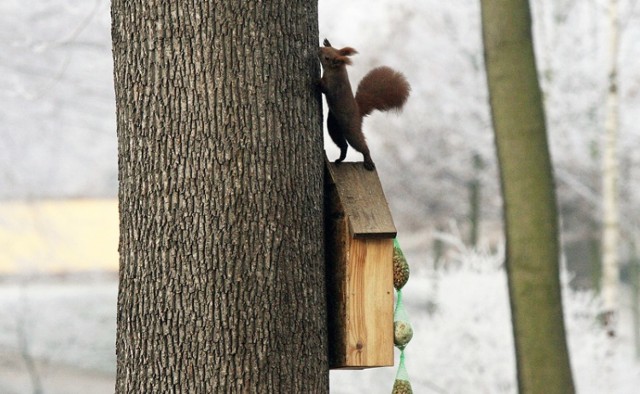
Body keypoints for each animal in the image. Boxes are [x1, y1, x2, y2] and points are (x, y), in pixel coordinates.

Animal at [318, 37, 412, 171]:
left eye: (327, 58)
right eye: (329, 49)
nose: (319, 49)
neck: (337, 70)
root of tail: (359, 112)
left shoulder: (334, 86)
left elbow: (325, 89)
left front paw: (316, 81)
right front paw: (327, 41)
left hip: (351, 129)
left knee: (360, 145)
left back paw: (368, 160)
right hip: (333, 124)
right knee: (342, 144)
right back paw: (340, 159)